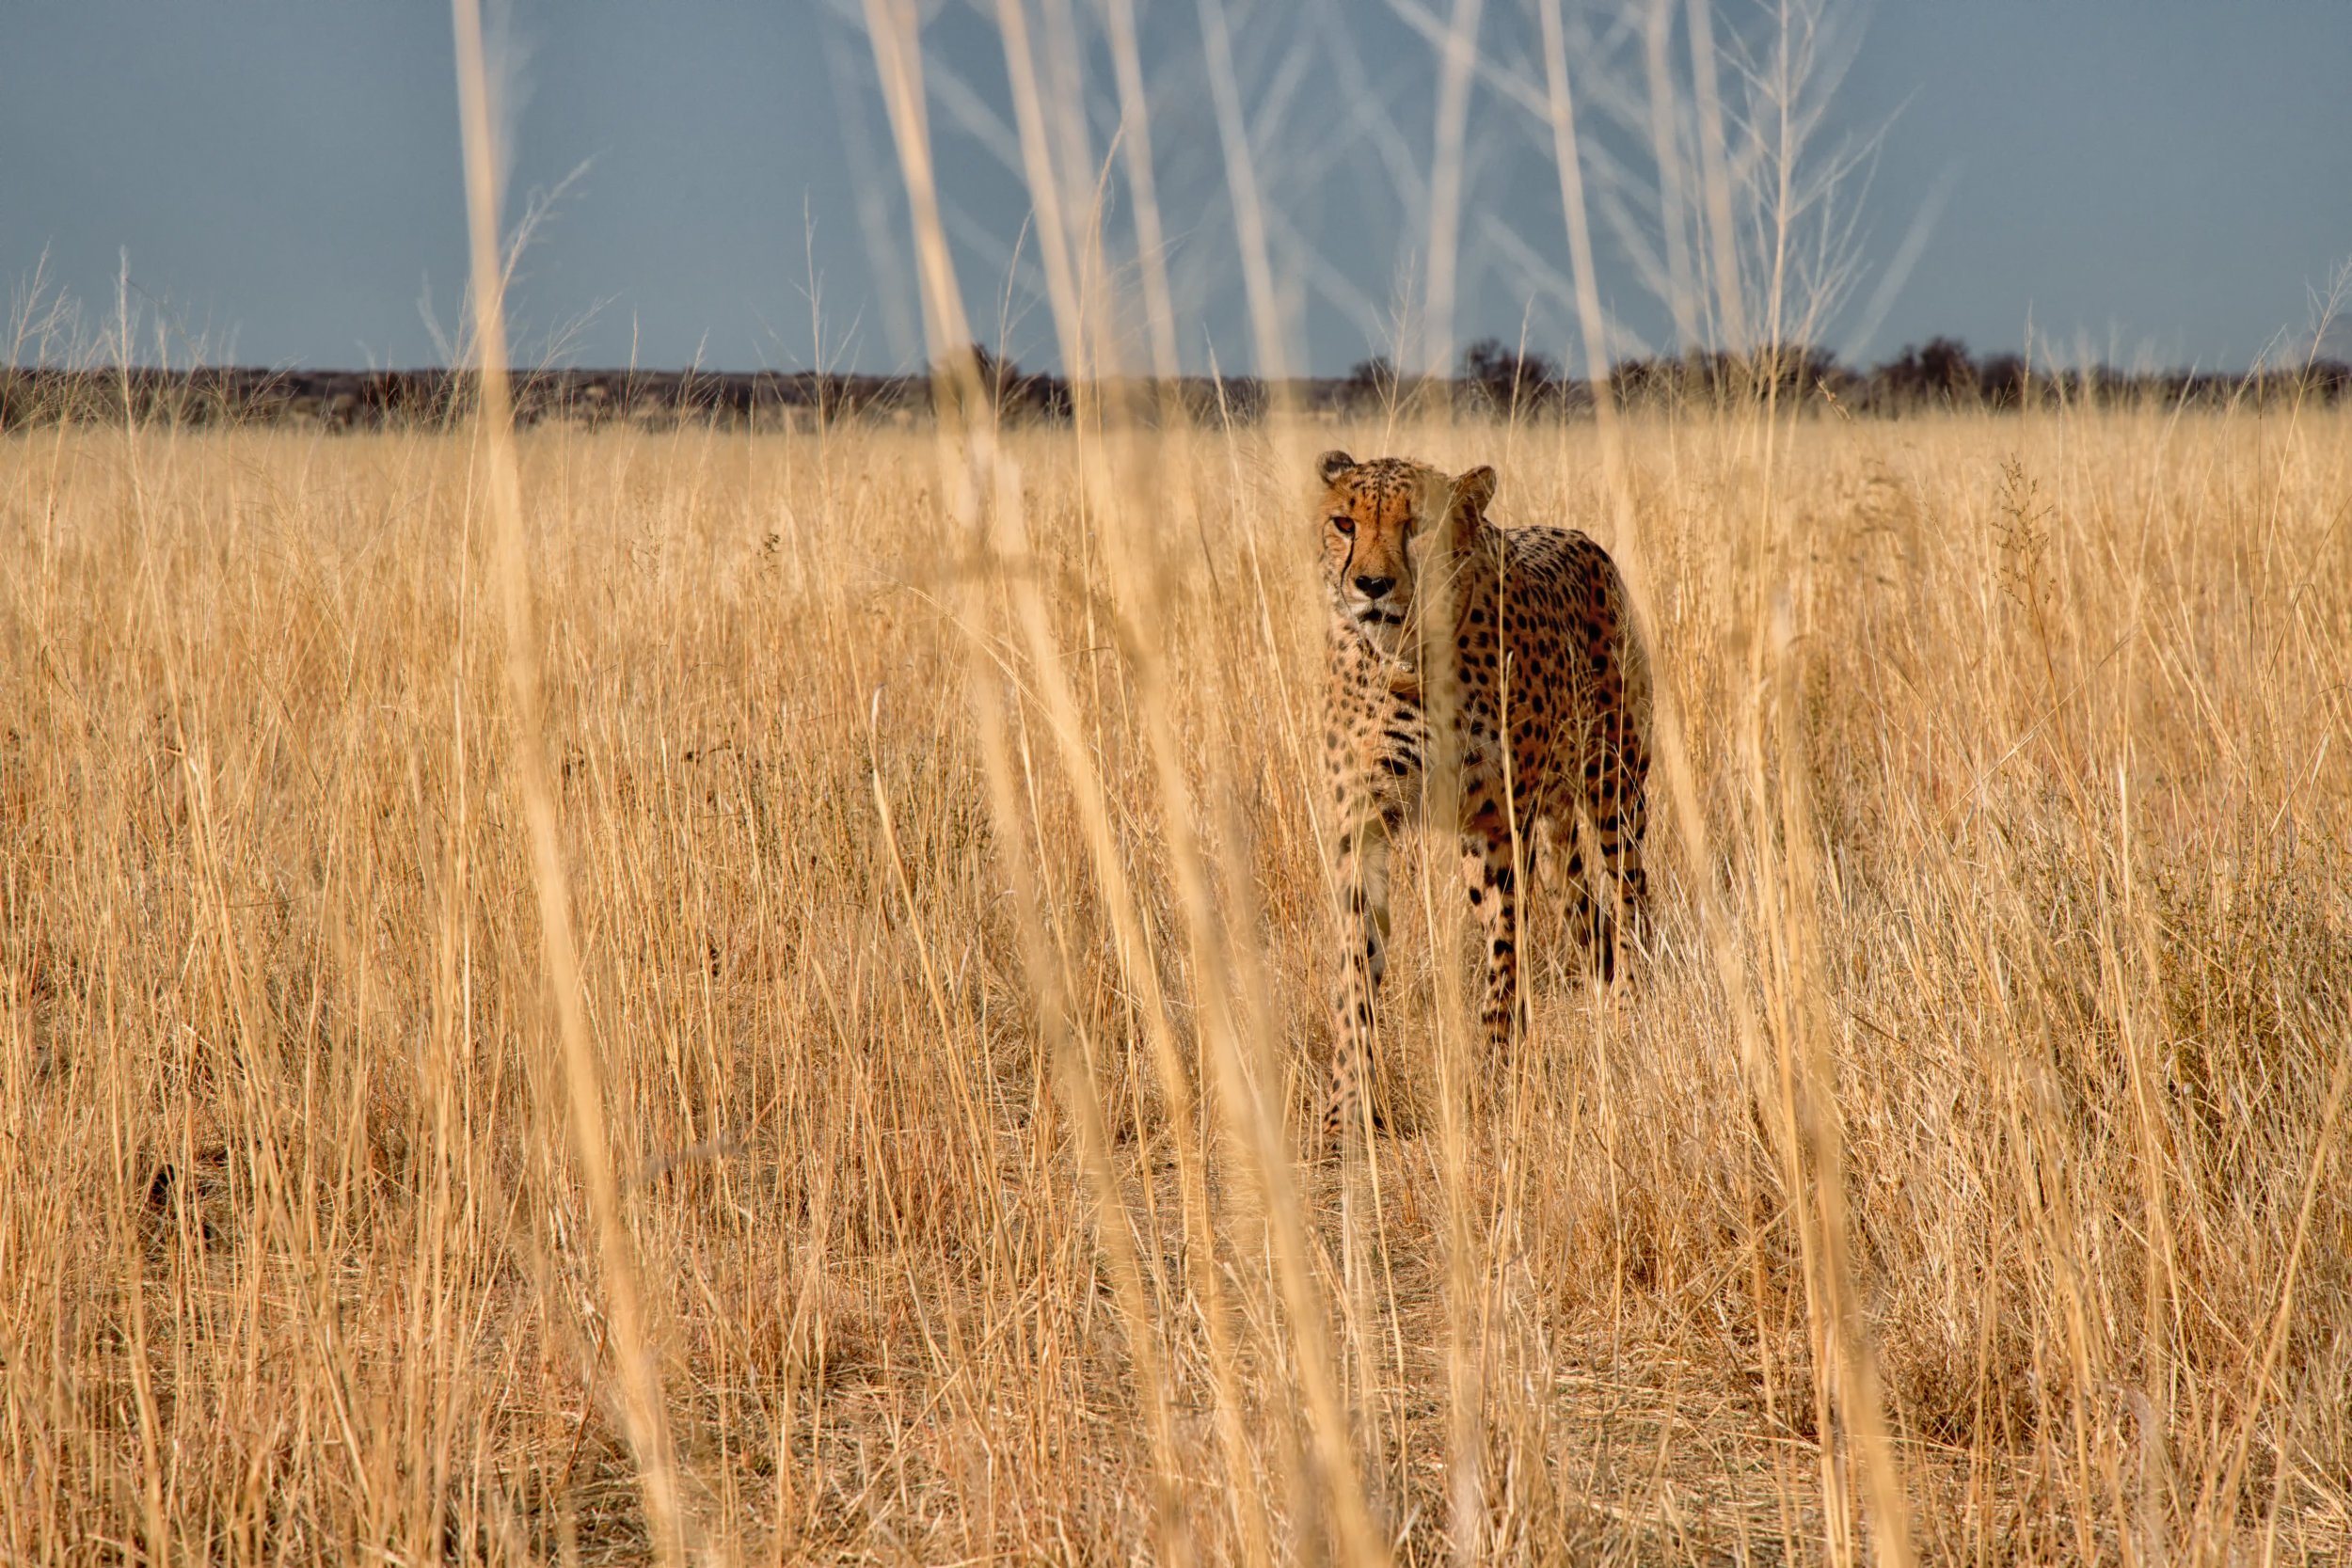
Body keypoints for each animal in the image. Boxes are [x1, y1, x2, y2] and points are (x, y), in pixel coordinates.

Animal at [1314, 449, 1653, 1148]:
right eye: (1344, 522)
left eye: (1417, 526)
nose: (1371, 586)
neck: (1406, 658)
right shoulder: (1365, 822)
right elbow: (1355, 967)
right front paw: (1344, 1111)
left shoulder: (1502, 824)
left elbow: (1504, 952)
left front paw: (1498, 1072)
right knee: (1591, 917)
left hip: (1614, 786)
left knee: (1633, 902)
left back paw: (1635, 1016)